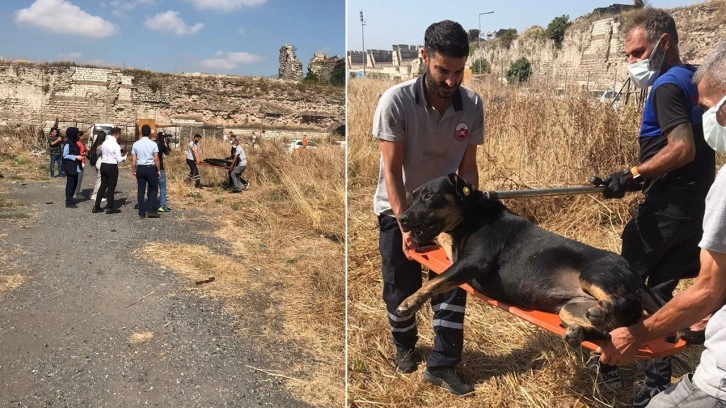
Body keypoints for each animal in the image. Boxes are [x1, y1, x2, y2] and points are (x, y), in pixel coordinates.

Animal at [398, 173, 660, 348]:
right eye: (413, 198)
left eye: (429, 196)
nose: (402, 219)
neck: (472, 213)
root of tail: (634, 274)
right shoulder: (456, 252)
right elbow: (443, 241)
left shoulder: (474, 261)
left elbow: (438, 280)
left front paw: (409, 301)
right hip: (570, 308)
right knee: (606, 331)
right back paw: (579, 332)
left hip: (593, 275)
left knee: (617, 300)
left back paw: (599, 312)